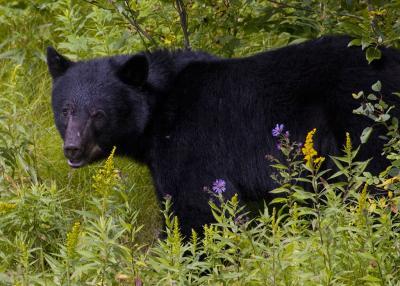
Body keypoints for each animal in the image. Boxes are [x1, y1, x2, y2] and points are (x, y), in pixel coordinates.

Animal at [47, 35, 400, 237]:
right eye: (66, 110)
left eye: (98, 113)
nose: (73, 149)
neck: (158, 110)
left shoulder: (190, 143)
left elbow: (196, 208)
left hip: (363, 120)